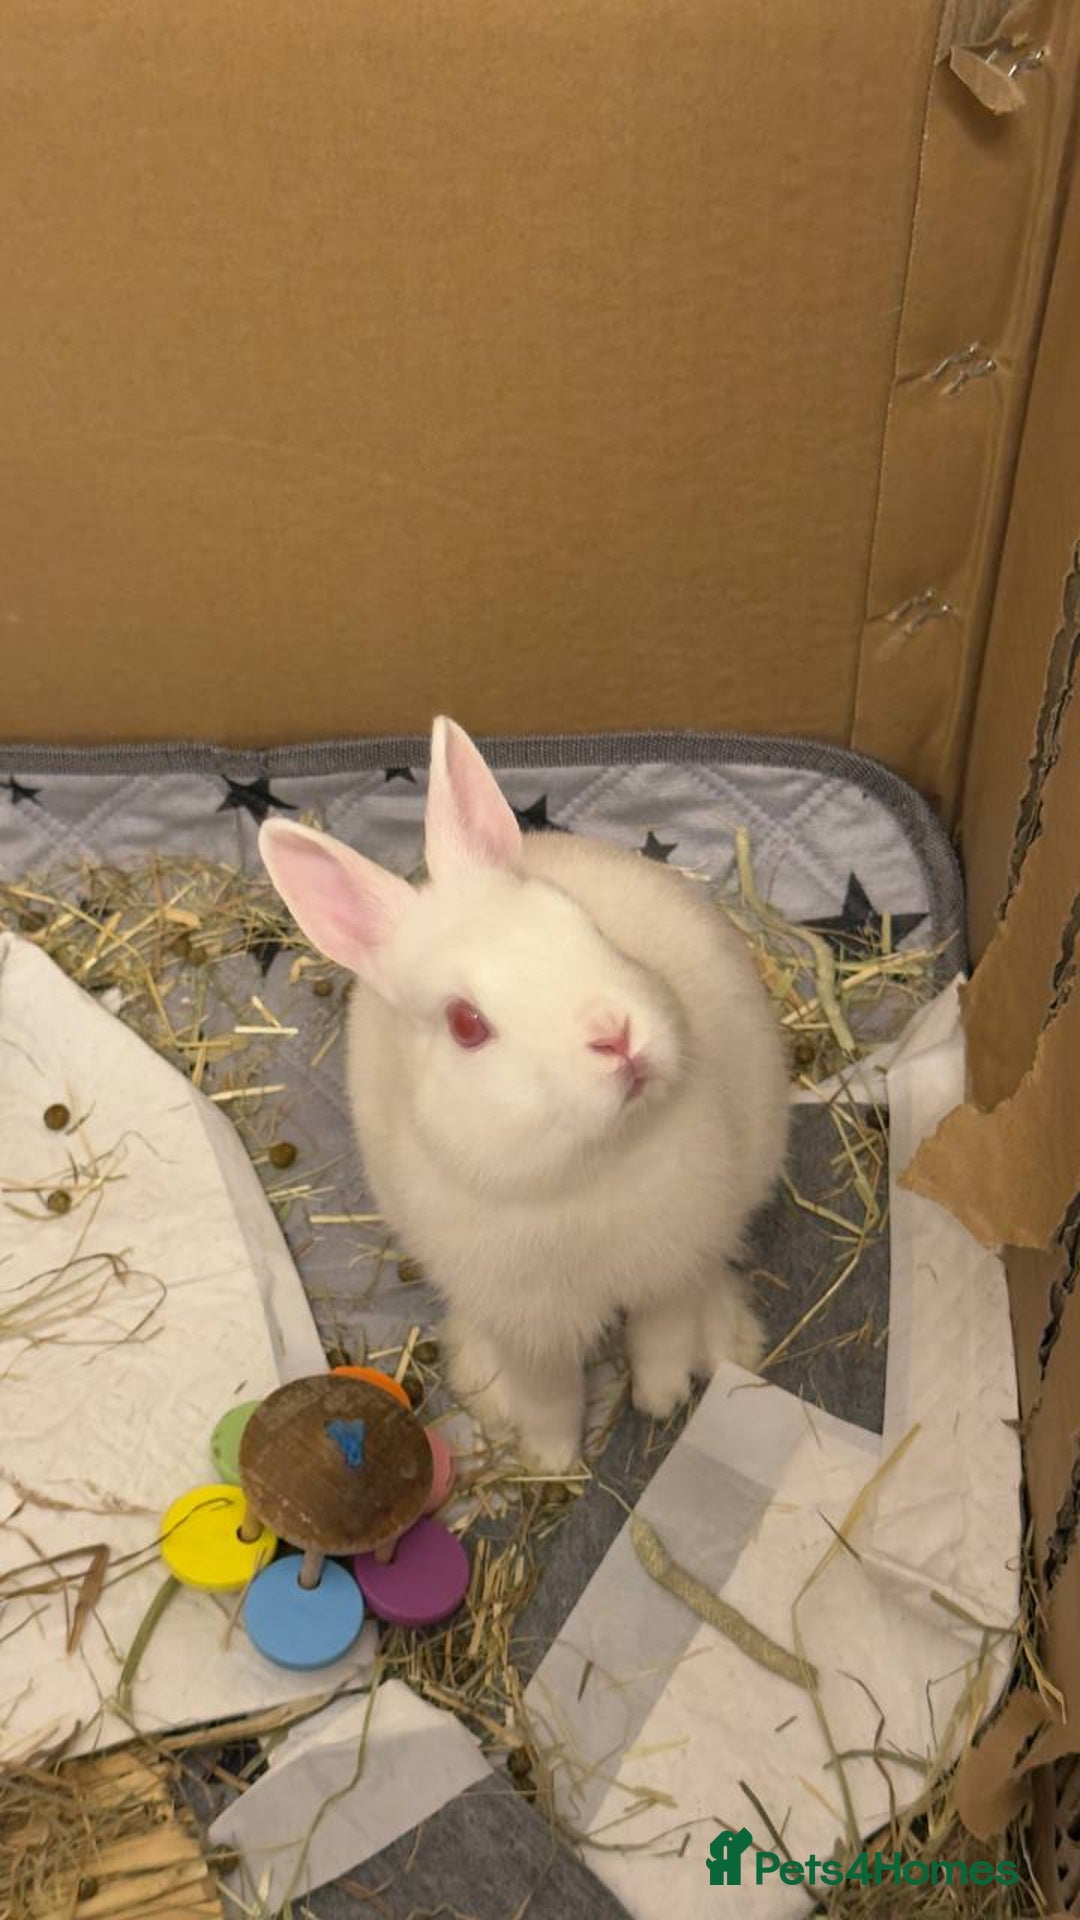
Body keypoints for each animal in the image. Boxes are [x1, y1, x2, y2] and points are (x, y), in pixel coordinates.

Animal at [259, 717, 790, 1474]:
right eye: (465, 1024)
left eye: (578, 921)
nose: (615, 1035)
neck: (587, 1171)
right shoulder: (528, 1325)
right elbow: (550, 1395)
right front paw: (552, 1462)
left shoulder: (670, 1266)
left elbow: (660, 1333)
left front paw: (660, 1400)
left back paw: (724, 1344)